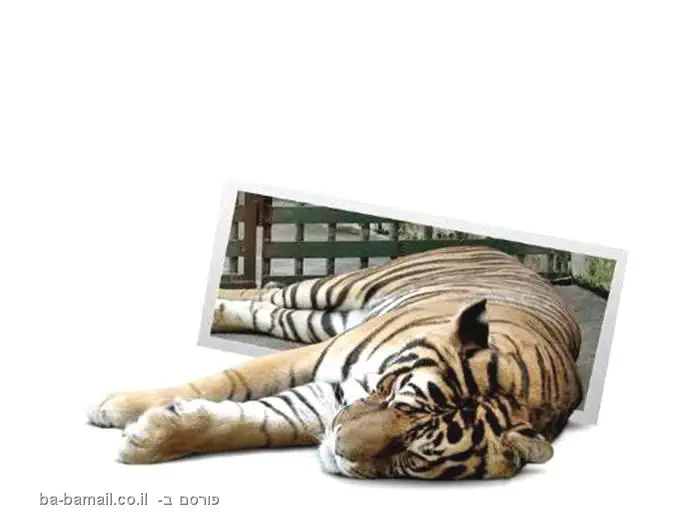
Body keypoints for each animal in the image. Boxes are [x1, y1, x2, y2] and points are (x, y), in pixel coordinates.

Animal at [87, 245, 583, 480]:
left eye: (413, 454)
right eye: (395, 398)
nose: (338, 446)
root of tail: (505, 252)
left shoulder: (336, 397)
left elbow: (259, 421)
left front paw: (150, 438)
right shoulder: (325, 362)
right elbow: (231, 379)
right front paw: (117, 407)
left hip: (316, 319)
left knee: (268, 309)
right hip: (339, 289)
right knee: (268, 292)